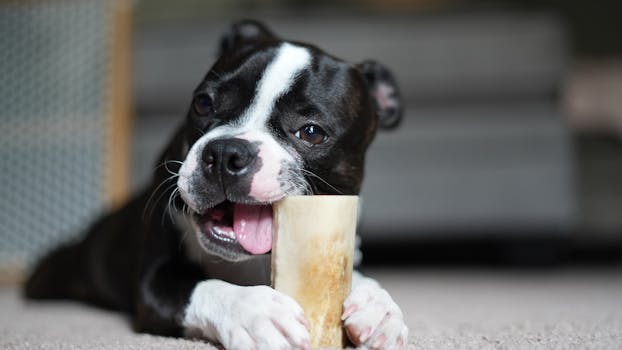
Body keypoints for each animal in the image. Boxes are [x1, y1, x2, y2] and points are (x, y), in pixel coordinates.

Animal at [25, 19, 410, 350]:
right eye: (203, 103)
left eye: (312, 132)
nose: (226, 153)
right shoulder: (154, 285)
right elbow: (202, 287)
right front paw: (256, 312)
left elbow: (354, 277)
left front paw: (380, 308)